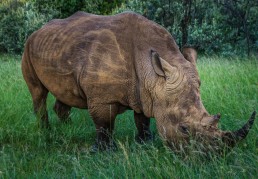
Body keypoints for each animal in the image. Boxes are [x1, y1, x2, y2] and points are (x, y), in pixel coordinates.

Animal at [21, 11, 255, 151]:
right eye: (183, 129)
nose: (213, 156)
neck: (150, 72)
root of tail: (38, 30)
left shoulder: (146, 90)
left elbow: (142, 120)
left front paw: (145, 142)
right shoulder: (102, 98)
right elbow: (104, 124)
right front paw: (103, 151)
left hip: (57, 47)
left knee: (64, 92)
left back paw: (68, 127)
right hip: (28, 47)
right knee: (38, 92)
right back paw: (46, 130)